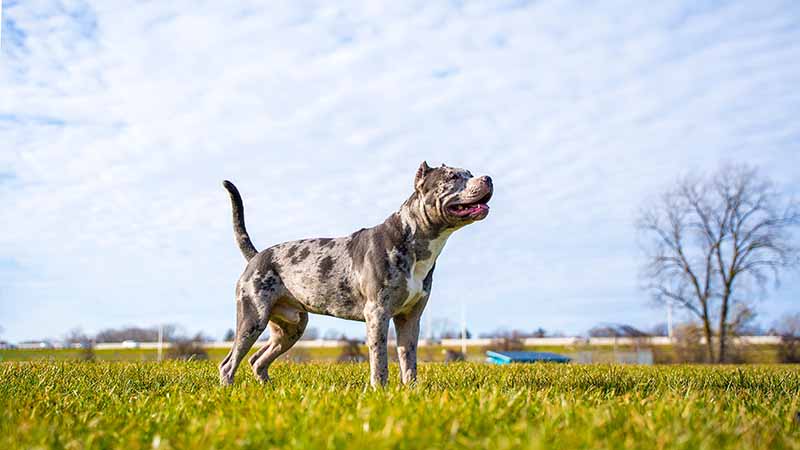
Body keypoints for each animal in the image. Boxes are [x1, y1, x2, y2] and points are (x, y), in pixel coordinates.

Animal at [220, 162, 494, 386]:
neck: (413, 239)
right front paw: (380, 390)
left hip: (291, 328)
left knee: (257, 360)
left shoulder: (410, 318)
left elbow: (409, 361)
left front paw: (412, 391)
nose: (488, 178)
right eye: (452, 177)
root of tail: (257, 256)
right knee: (228, 363)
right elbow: (379, 360)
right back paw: (229, 390)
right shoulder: (378, 313)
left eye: (469, 173)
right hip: (252, 318)